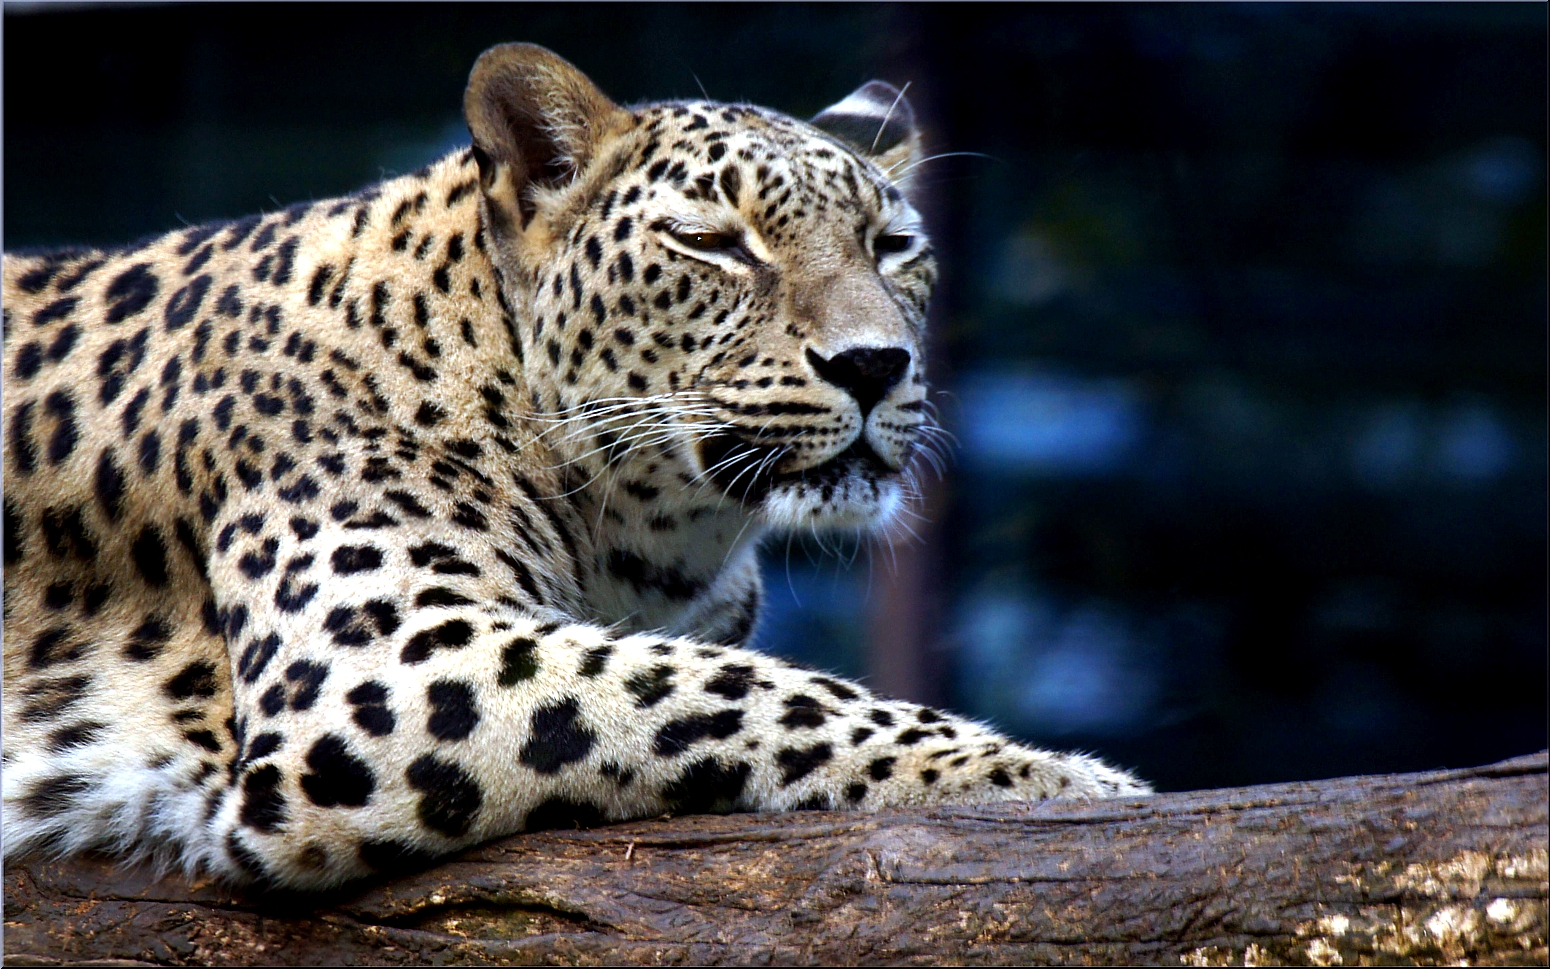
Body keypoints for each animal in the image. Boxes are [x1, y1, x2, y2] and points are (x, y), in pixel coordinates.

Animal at [3, 47, 1153, 893]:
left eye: (893, 244)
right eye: (711, 242)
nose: (875, 364)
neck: (653, 537)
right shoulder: (389, 663)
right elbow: (742, 691)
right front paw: (1049, 776)